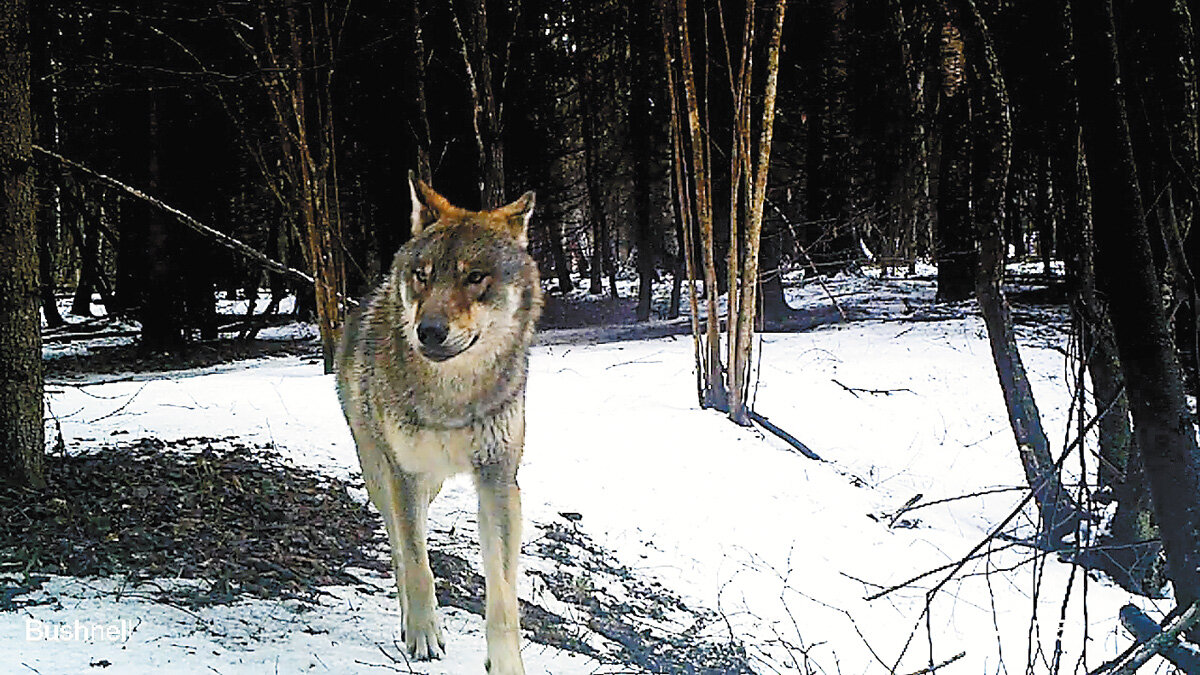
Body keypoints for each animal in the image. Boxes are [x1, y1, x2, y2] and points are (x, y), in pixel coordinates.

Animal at [333, 174, 540, 672]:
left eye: (474, 277)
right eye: (423, 275)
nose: (428, 331)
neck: (453, 398)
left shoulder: (498, 481)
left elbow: (503, 596)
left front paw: (506, 663)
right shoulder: (404, 475)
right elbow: (416, 563)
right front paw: (424, 635)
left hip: (435, 485)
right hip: (386, 476)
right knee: (398, 547)